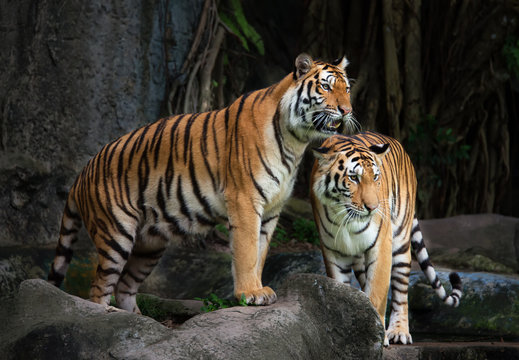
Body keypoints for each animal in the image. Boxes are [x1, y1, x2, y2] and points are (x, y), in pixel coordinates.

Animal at [48, 53, 356, 312]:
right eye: (326, 87)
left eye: (347, 89)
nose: (346, 110)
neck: (296, 141)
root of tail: (82, 172)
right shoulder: (245, 200)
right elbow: (246, 251)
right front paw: (249, 293)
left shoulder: (272, 210)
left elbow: (260, 252)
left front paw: (259, 288)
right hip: (116, 234)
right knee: (99, 287)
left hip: (150, 244)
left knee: (124, 286)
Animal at [308, 132, 464, 346]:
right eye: (353, 177)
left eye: (375, 177)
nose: (373, 208)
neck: (346, 219)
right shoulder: (333, 252)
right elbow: (341, 290)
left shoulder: (381, 246)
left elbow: (377, 293)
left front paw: (374, 336)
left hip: (400, 243)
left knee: (400, 293)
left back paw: (399, 331)